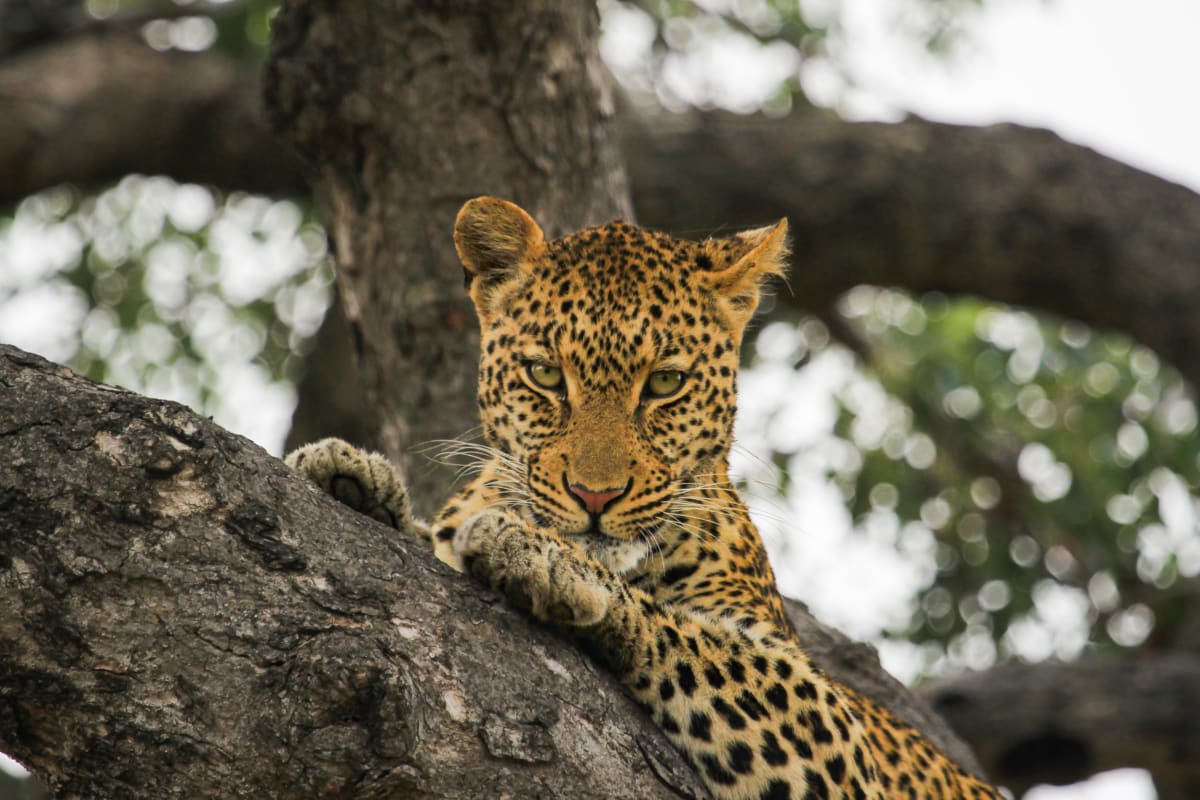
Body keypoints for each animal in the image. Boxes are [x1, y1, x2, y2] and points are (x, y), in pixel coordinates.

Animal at [286, 197, 1004, 800]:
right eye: (545, 375)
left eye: (664, 384)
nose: (594, 494)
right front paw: (350, 477)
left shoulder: (836, 734)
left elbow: (694, 637)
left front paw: (548, 561)